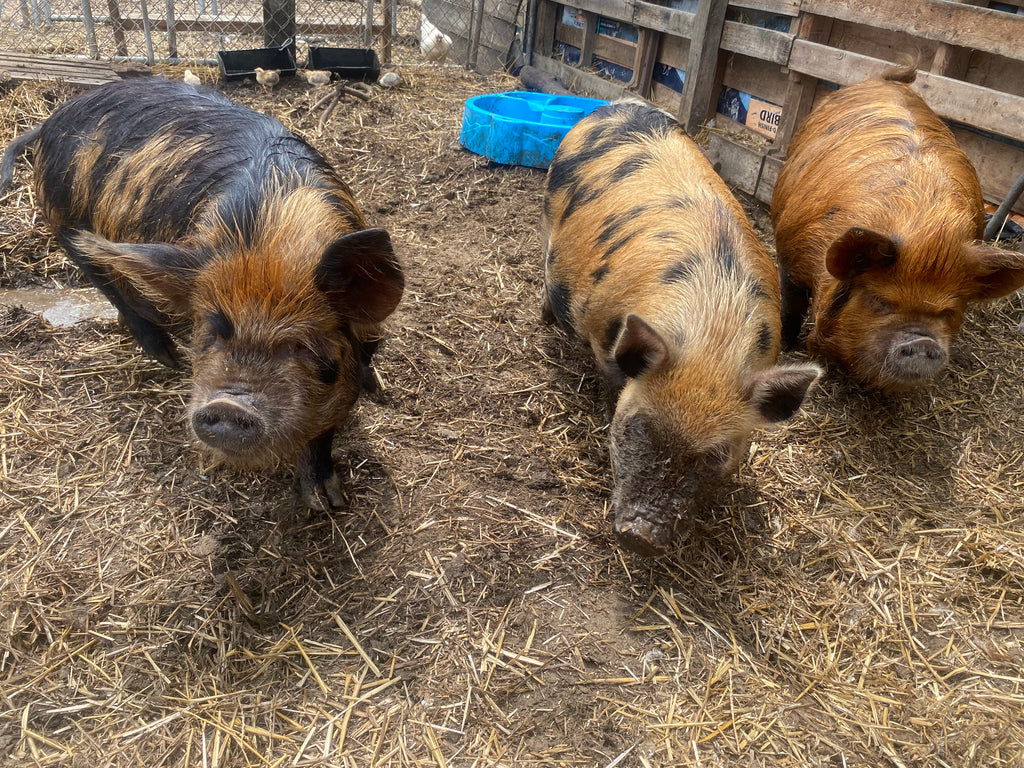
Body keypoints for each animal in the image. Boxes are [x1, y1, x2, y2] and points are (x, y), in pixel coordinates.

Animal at [0, 77, 404, 510]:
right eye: (211, 334)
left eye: (301, 345)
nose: (226, 404)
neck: (273, 238)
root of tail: (49, 122)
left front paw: (329, 502)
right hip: (69, 233)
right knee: (114, 290)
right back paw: (168, 358)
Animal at [542, 102, 821, 556]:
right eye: (640, 428)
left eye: (715, 454)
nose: (641, 534)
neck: (712, 339)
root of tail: (619, 106)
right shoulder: (603, 340)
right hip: (547, 214)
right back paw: (544, 317)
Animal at [771, 65, 1024, 391]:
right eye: (881, 301)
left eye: (948, 311)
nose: (924, 342)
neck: (927, 233)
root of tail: (885, 79)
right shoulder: (791, 253)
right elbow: (792, 303)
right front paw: (788, 349)